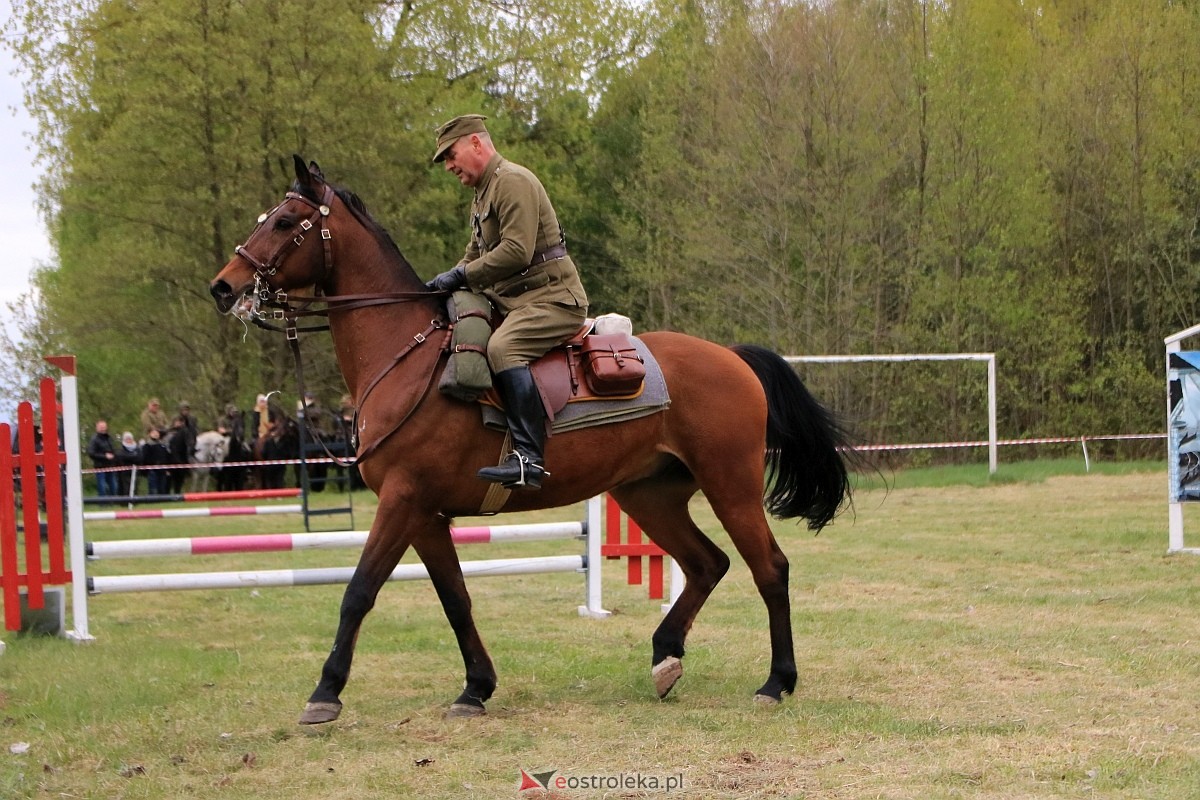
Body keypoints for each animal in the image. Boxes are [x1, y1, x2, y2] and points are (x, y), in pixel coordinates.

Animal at [211, 154, 859, 724]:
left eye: (286, 222)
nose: (223, 286)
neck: (407, 354)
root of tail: (731, 355)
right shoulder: (426, 514)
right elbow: (455, 598)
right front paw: (475, 688)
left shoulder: (402, 501)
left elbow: (359, 591)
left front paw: (325, 693)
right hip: (649, 495)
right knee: (707, 564)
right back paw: (665, 657)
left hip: (731, 485)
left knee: (769, 568)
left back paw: (777, 681)